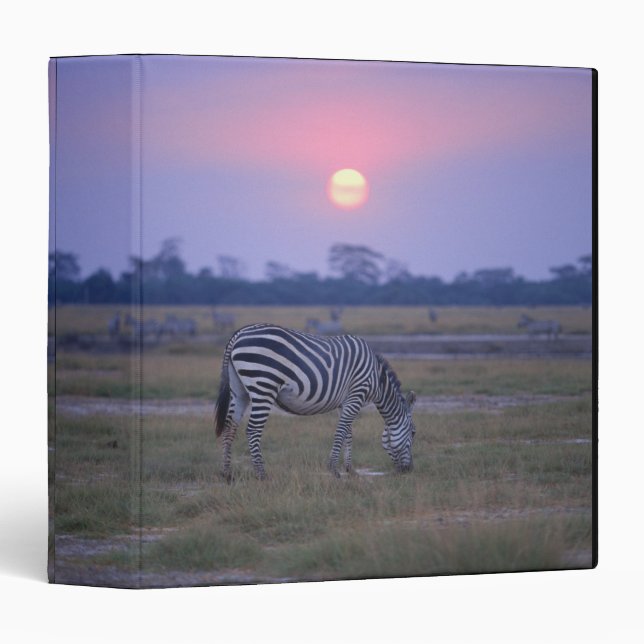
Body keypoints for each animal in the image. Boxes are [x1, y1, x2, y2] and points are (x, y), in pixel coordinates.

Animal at [214, 324, 416, 480]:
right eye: (413, 433)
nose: (409, 470)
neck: (377, 379)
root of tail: (239, 333)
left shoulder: (346, 401)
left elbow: (348, 433)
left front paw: (350, 470)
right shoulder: (356, 395)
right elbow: (341, 432)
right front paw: (334, 470)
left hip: (239, 390)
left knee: (230, 426)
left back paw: (227, 473)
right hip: (263, 385)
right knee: (253, 430)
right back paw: (262, 476)